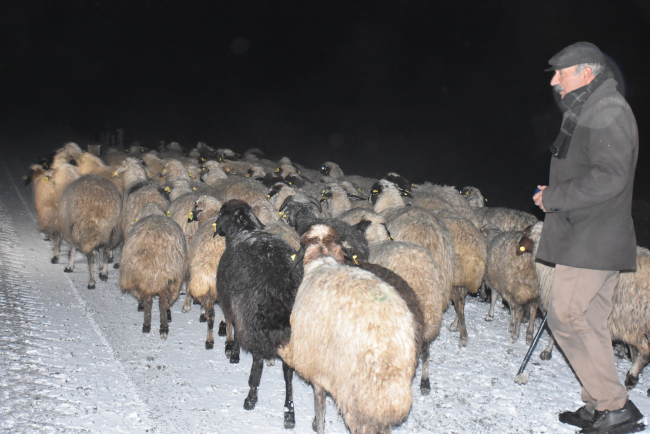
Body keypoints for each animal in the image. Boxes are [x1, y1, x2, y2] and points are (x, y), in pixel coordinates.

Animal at [214, 199, 302, 428]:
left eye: (221, 212)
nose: (216, 228)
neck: (246, 230)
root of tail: (283, 288)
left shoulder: (232, 303)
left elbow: (234, 330)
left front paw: (233, 353)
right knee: (288, 372)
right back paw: (289, 412)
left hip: (254, 320)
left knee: (258, 363)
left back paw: (250, 398)